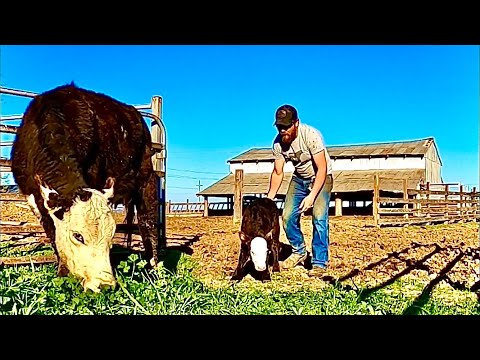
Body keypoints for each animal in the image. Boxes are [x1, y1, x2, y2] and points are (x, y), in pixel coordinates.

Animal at [9, 83, 162, 294]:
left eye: (112, 233)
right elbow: (53, 235)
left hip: (147, 180)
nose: (105, 285)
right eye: (78, 236)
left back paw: (154, 270)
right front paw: (62, 274)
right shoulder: (35, 199)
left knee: (148, 222)